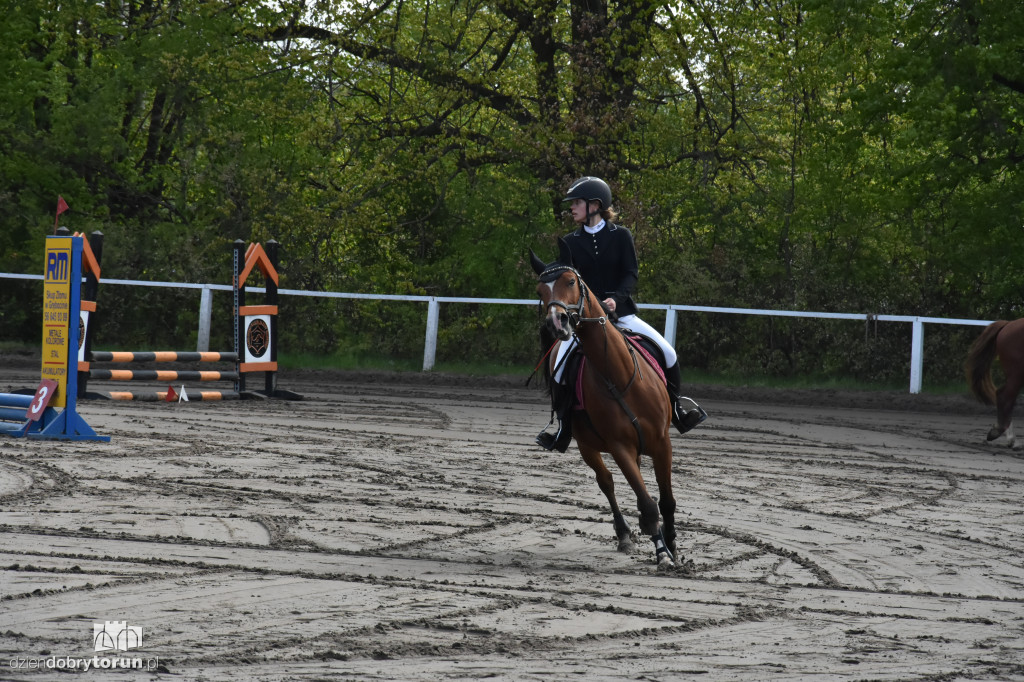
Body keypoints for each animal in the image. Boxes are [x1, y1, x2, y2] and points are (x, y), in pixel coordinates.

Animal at [528, 238, 679, 569]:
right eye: (540, 291)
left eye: (571, 281)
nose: (556, 322)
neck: (619, 376)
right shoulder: (619, 446)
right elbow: (647, 502)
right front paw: (661, 552)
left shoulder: (662, 442)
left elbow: (665, 500)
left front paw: (672, 545)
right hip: (587, 445)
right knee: (606, 482)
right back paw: (624, 533)